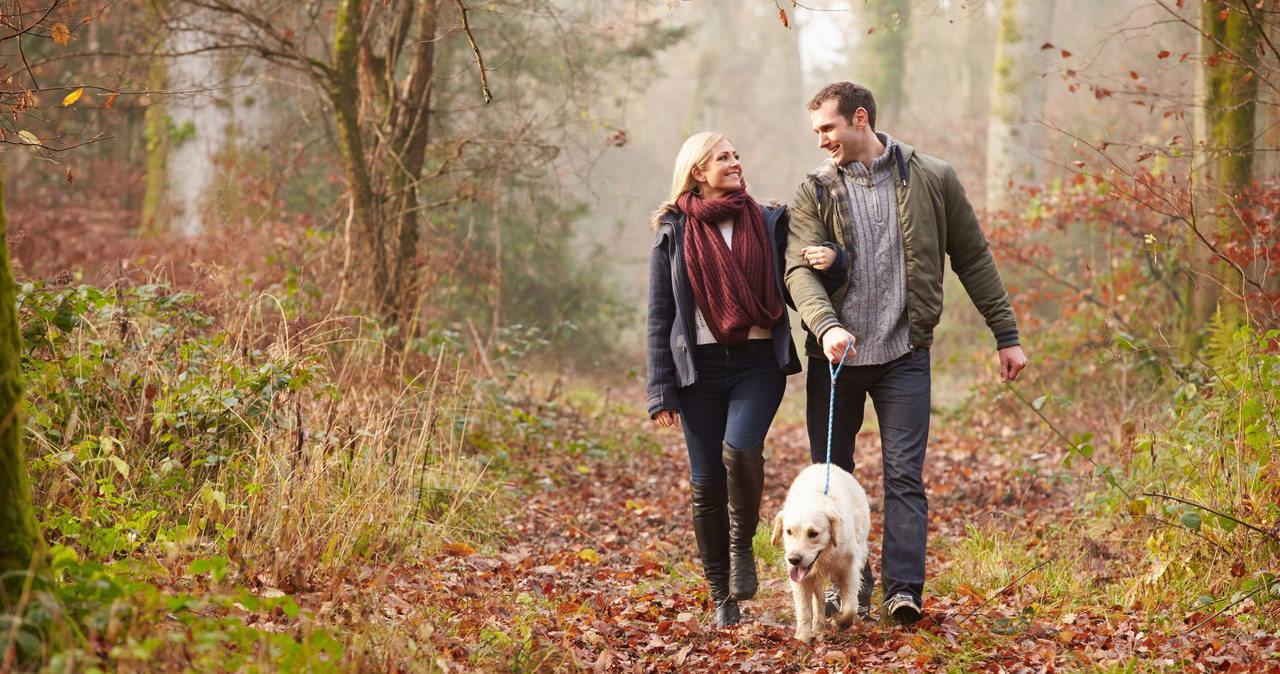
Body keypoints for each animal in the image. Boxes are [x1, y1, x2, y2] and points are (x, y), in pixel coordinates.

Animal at [768, 465, 870, 644]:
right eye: (788, 531)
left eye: (813, 533)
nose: (794, 559)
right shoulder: (800, 579)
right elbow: (803, 609)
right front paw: (802, 637)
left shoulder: (850, 568)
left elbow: (850, 609)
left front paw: (839, 621)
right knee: (819, 598)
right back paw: (818, 626)